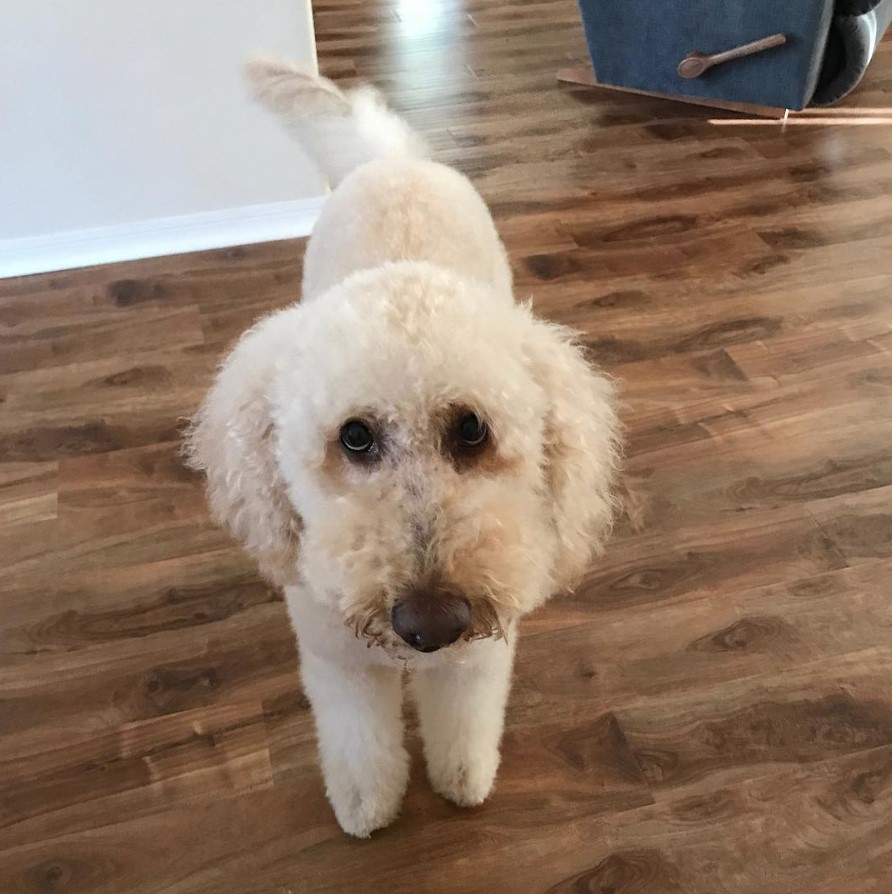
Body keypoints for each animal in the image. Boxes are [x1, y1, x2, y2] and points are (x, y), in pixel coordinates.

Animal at [188, 61, 620, 840]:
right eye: (355, 436)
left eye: (472, 430)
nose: (432, 624)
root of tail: (391, 159)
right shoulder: (338, 663)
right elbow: (360, 743)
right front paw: (367, 806)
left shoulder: (477, 660)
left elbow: (464, 723)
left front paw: (463, 779)